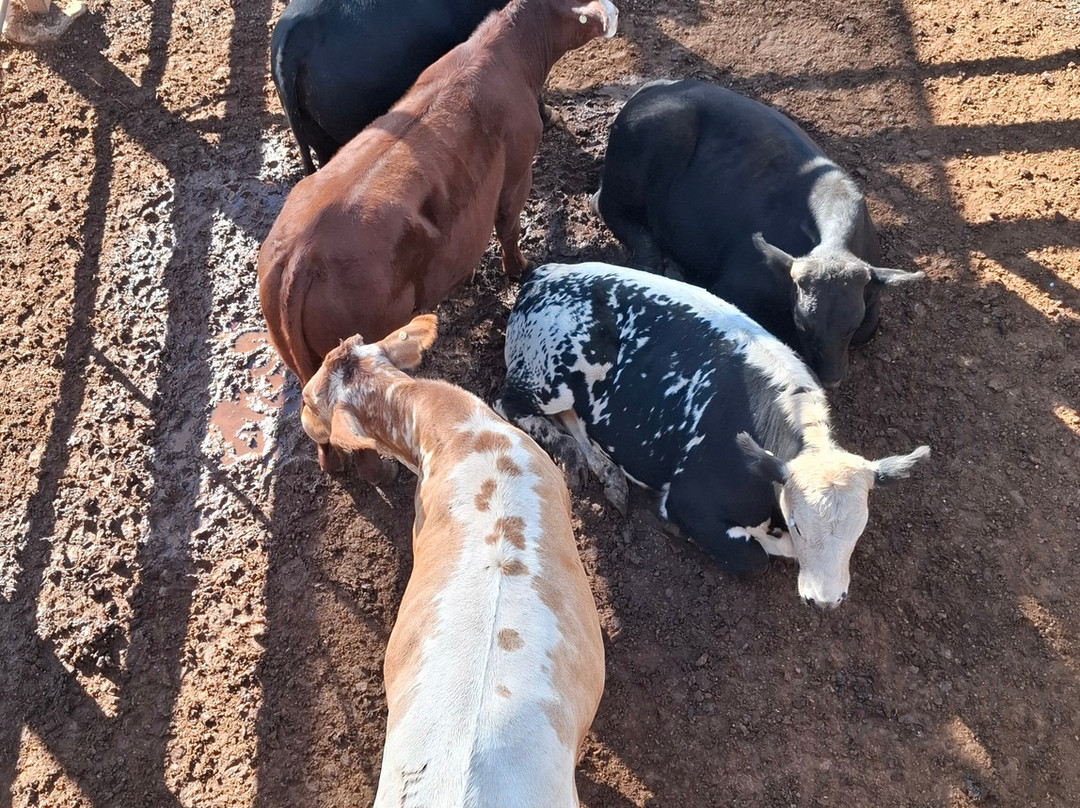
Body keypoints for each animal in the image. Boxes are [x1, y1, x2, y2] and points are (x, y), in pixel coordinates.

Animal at [495, 263, 930, 608]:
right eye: (798, 525)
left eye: (859, 530)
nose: (825, 601)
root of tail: (544, 273)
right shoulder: (688, 500)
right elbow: (754, 557)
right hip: (551, 378)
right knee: (510, 404)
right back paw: (574, 458)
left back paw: (610, 474)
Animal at [592, 79, 925, 388]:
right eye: (802, 323)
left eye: (851, 325)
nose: (831, 379)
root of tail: (652, 89)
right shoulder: (734, 287)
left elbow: (868, 328)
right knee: (605, 205)